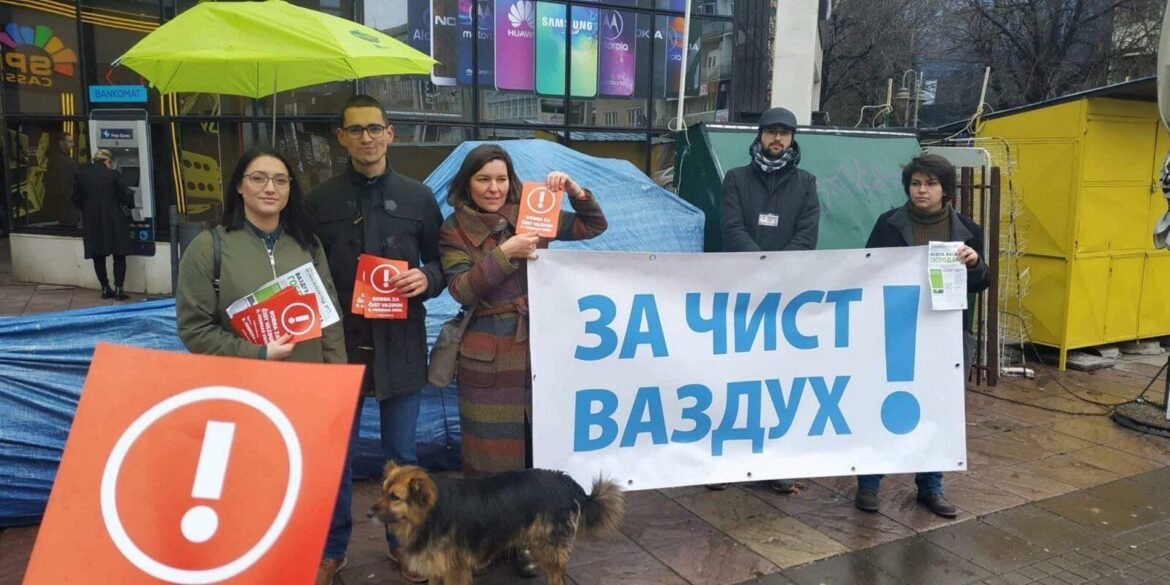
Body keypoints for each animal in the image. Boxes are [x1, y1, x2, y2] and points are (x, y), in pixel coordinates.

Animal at [369, 463, 627, 582]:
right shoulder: (436, 568)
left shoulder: (454, 570)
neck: (431, 513)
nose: (368, 514)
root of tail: (566, 481)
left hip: (549, 547)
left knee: (557, 578)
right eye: (381, 492)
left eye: (394, 497)